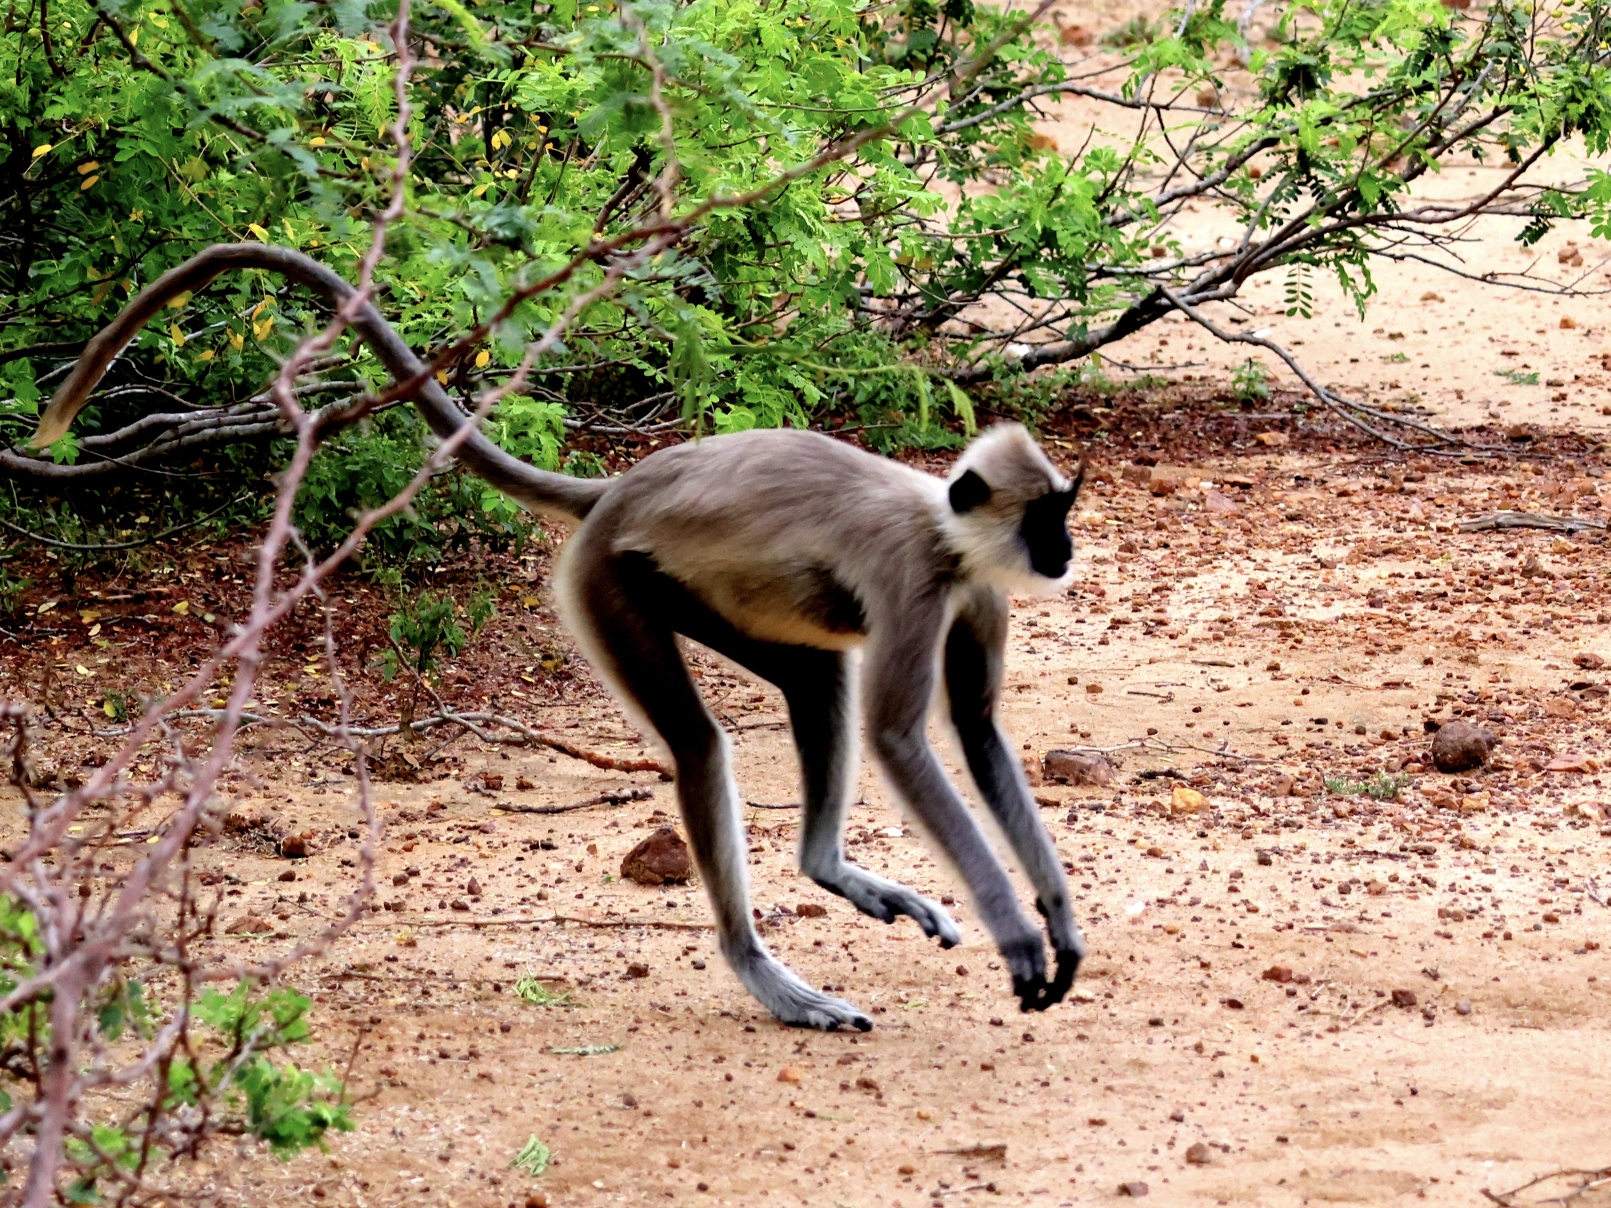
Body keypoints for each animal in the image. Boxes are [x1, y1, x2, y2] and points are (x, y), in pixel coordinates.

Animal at [37, 243, 1089, 1030]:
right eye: (1046, 518)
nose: (1065, 550)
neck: (946, 532)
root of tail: (620, 487)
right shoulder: (915, 577)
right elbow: (901, 741)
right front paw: (1016, 931)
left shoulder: (977, 591)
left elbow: (979, 734)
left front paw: (1058, 922)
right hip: (604, 582)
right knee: (702, 743)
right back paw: (761, 971)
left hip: (679, 587)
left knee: (813, 677)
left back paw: (826, 872)